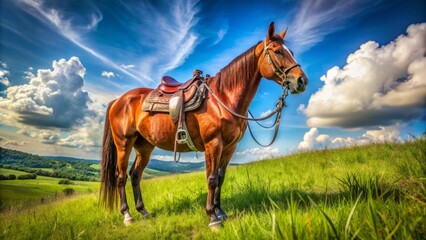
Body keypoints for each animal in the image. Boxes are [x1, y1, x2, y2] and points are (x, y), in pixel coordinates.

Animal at [100, 22, 306, 227]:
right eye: (278, 51)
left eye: (291, 52)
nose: (302, 80)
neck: (223, 98)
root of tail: (119, 100)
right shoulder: (213, 143)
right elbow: (212, 179)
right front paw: (213, 217)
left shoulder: (229, 147)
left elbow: (220, 178)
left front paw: (220, 211)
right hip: (124, 143)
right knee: (120, 177)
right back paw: (127, 215)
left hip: (144, 146)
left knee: (135, 175)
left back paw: (143, 211)